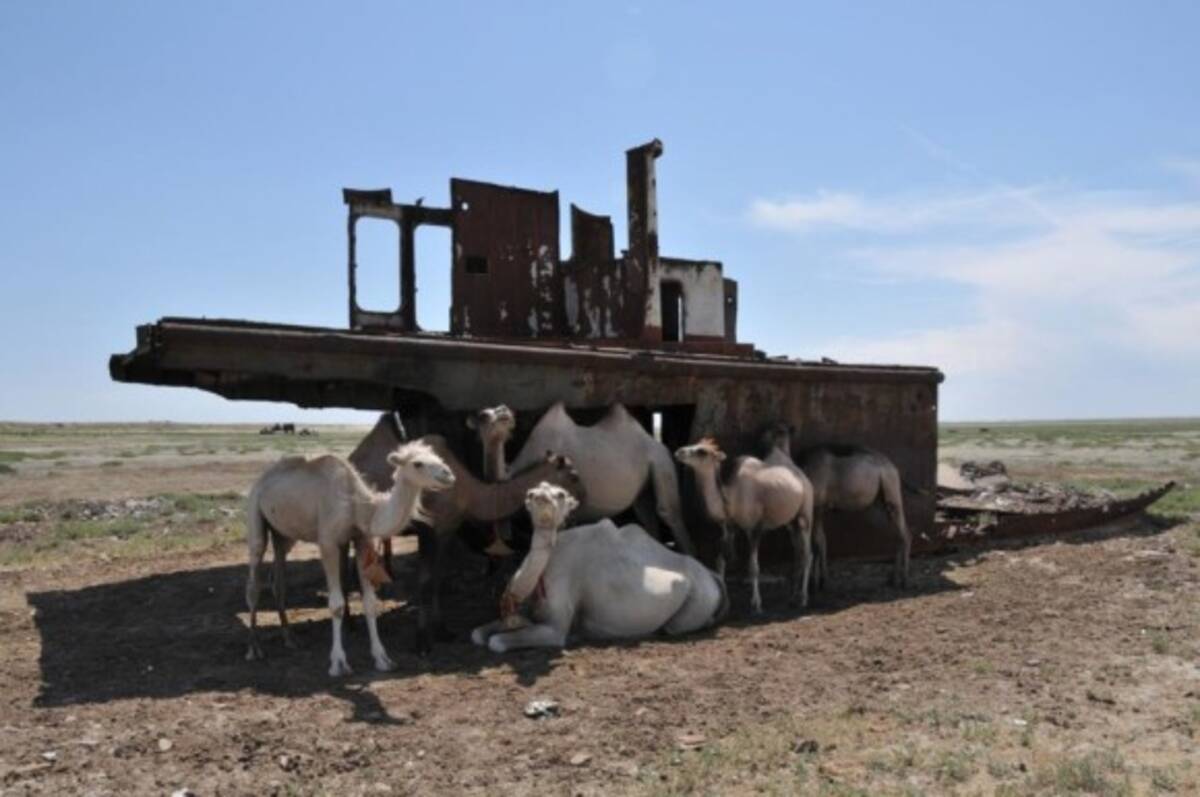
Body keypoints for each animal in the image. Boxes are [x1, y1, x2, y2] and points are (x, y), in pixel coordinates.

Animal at [243, 439, 453, 676]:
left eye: (439, 458)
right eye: (418, 463)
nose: (448, 474)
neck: (359, 507)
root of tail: (263, 479)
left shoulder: (362, 540)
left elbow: (370, 603)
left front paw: (383, 659)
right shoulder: (328, 542)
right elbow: (336, 604)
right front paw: (338, 663)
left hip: (284, 534)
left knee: (278, 577)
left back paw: (290, 639)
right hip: (254, 512)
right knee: (254, 580)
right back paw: (253, 648)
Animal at [468, 400, 696, 556]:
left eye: (501, 412)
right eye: (483, 416)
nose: (504, 414)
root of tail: (655, 442)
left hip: (661, 462)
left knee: (669, 512)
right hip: (644, 486)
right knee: (646, 512)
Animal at [472, 482, 724, 652]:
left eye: (560, 494)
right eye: (531, 493)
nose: (541, 498)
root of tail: (711, 576)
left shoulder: (556, 626)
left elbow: (497, 642)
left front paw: (573, 636)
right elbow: (477, 634)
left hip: (698, 602)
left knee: (674, 627)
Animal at [676, 439, 816, 612]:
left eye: (702, 451)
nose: (679, 451)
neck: (731, 497)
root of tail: (805, 480)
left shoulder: (754, 529)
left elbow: (753, 567)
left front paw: (756, 604)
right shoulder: (730, 528)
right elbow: (720, 562)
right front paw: (725, 602)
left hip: (805, 515)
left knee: (808, 554)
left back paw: (803, 599)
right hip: (791, 522)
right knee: (798, 553)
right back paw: (792, 597)